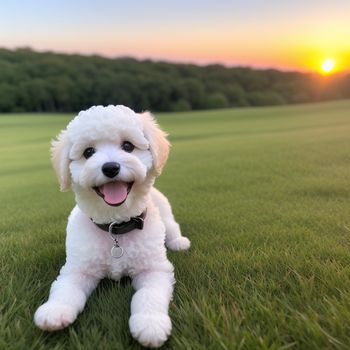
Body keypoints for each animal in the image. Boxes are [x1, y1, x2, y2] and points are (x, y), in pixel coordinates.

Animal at [34, 105, 190, 348]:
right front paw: (55, 310)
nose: (110, 167)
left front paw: (150, 324)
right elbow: (65, 288)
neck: (114, 226)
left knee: (172, 227)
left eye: (128, 146)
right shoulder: (78, 269)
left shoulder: (154, 269)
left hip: (165, 210)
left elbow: (148, 295)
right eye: (88, 152)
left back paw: (179, 242)